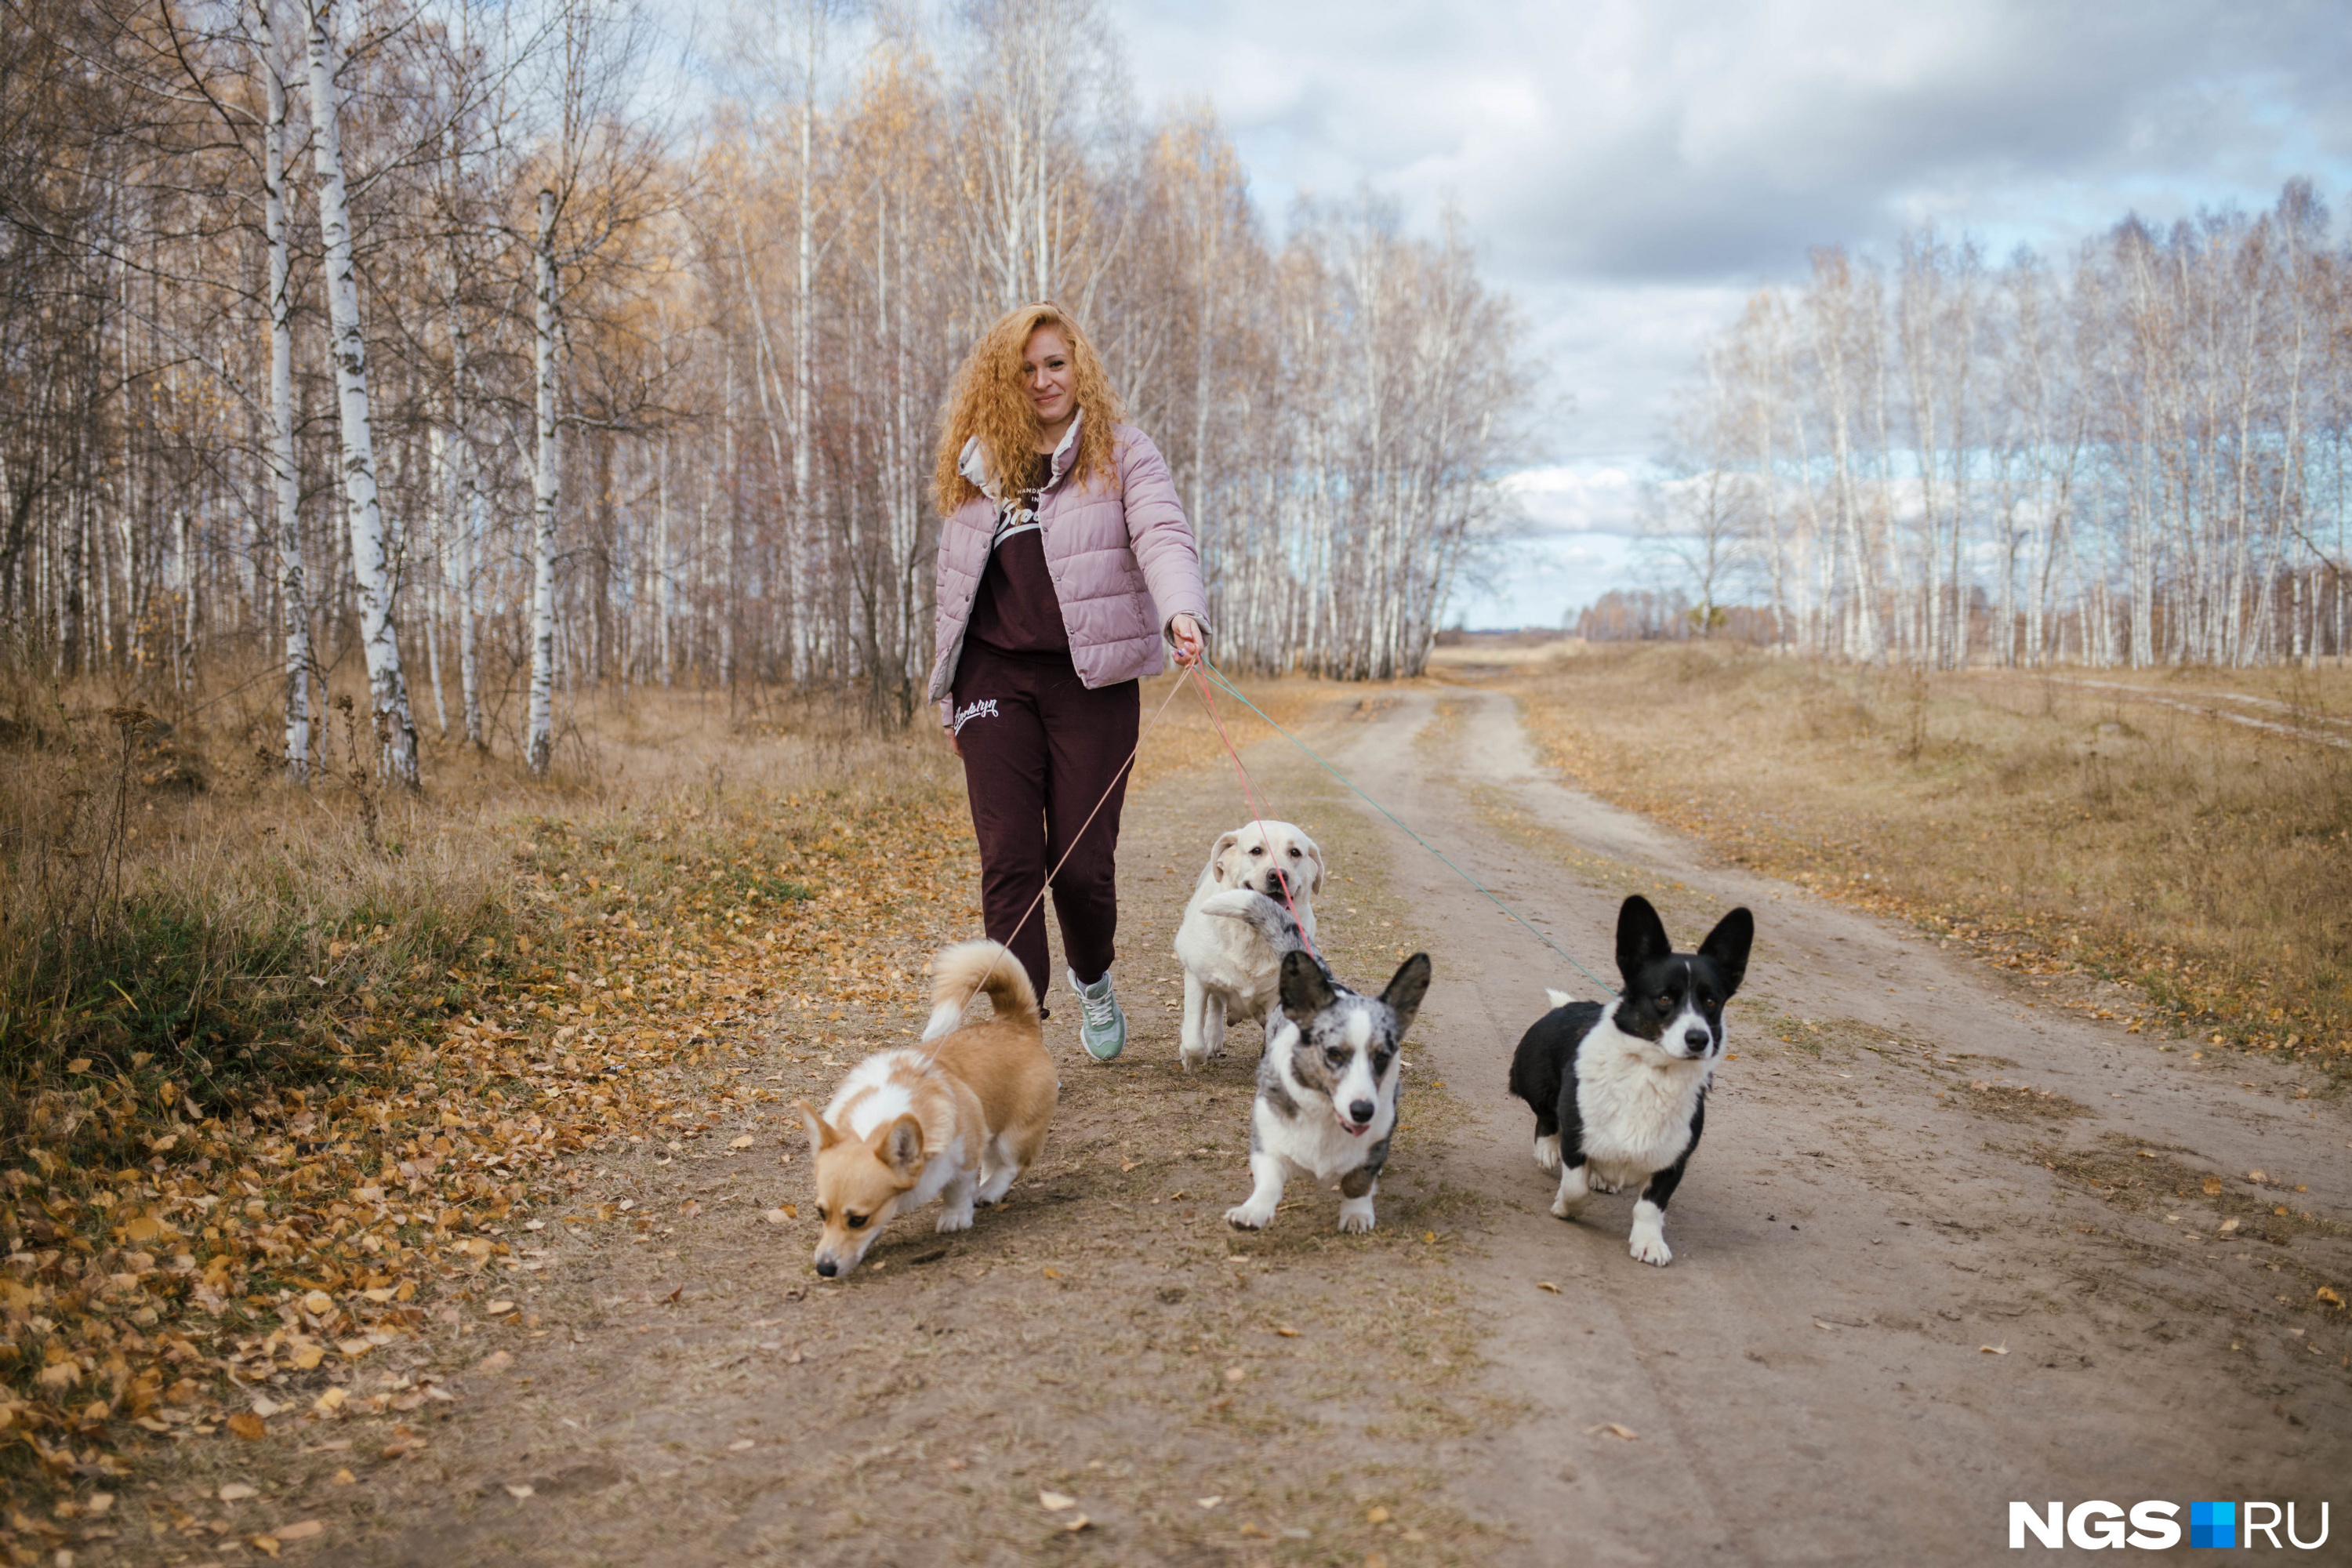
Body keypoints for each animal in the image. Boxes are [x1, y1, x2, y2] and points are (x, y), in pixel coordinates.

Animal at [1171, 822, 1327, 1067]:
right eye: (1256, 851)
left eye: (1295, 852)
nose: (1277, 875)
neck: (1255, 933)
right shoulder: (1195, 975)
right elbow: (1193, 1040)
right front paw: (1190, 1058)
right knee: (1216, 1002)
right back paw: (1213, 1037)